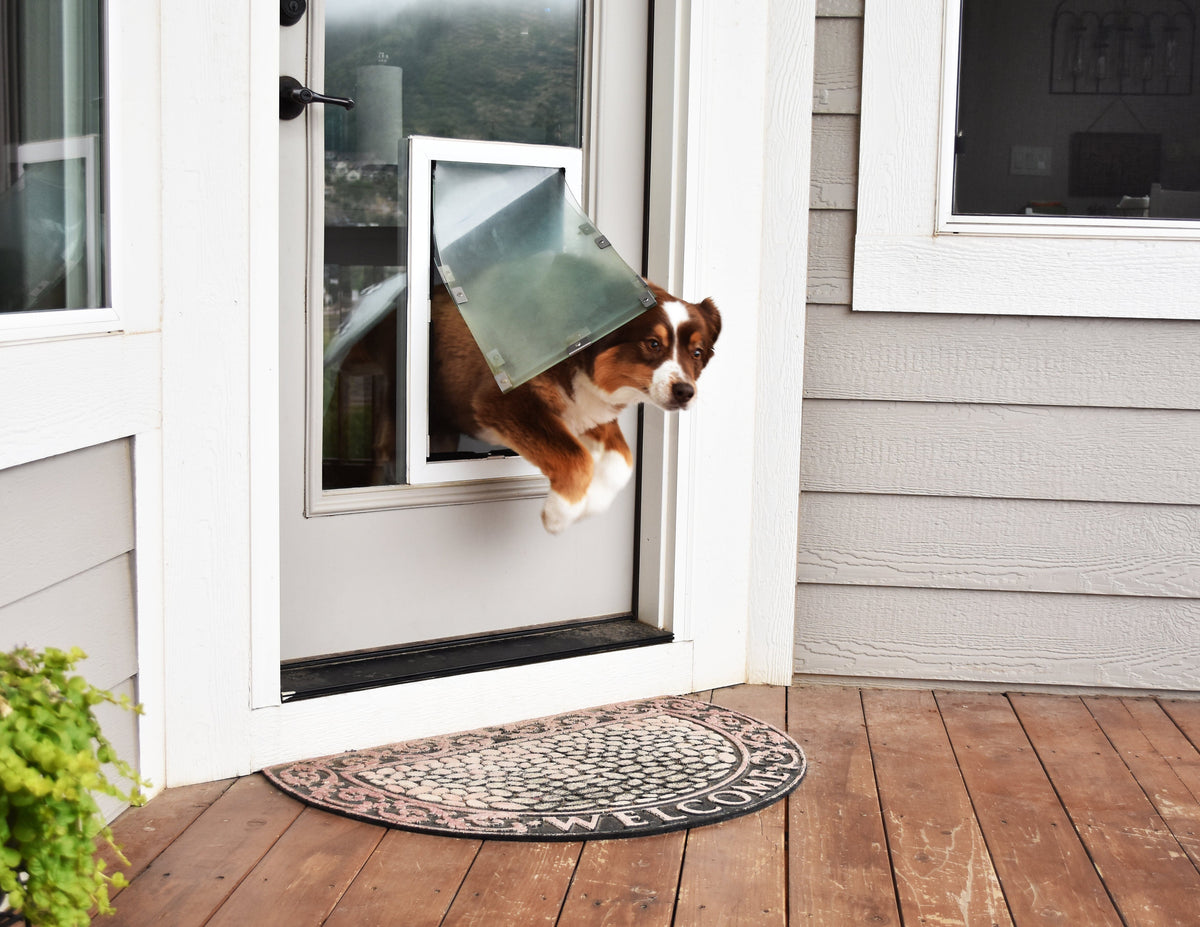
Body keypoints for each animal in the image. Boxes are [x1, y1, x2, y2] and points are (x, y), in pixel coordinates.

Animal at [432, 278, 720, 533]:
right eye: (653, 344)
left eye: (697, 353)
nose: (685, 392)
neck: (579, 348)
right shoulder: (502, 401)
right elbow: (575, 455)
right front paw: (559, 514)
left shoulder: (586, 409)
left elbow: (623, 461)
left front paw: (592, 504)